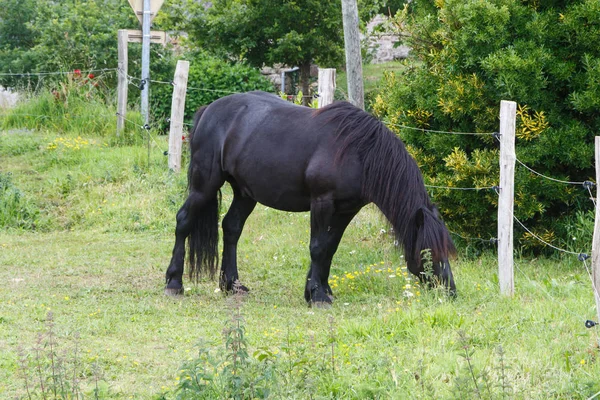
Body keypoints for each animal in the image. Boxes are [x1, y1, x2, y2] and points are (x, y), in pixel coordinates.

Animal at [164, 91, 454, 304]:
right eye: (428, 250)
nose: (450, 290)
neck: (358, 152)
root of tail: (208, 110)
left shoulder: (346, 210)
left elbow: (330, 248)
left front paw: (321, 289)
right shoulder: (322, 202)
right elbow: (317, 247)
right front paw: (317, 296)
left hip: (245, 193)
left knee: (231, 228)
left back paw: (231, 284)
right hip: (204, 186)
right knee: (183, 220)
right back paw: (174, 283)